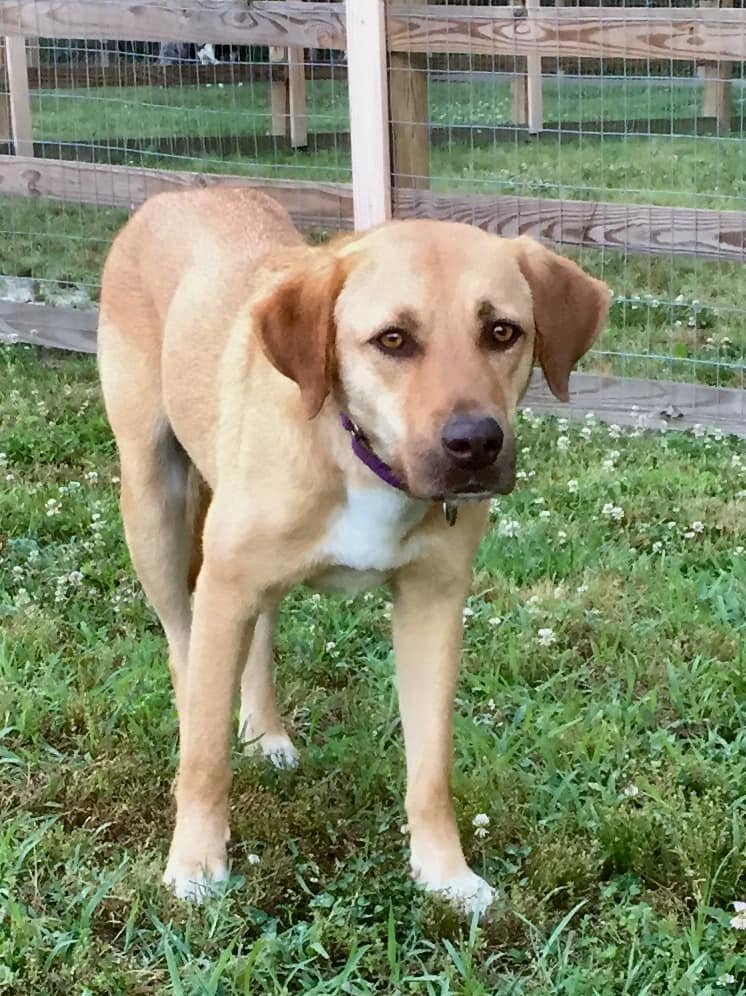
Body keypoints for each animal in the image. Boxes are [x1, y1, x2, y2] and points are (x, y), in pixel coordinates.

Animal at [97, 191, 612, 916]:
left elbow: (431, 767)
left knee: (259, 635)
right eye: (393, 339)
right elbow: (203, 758)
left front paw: (444, 872)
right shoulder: (224, 585)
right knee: (182, 647)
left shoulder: (432, 603)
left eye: (502, 331)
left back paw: (265, 733)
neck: (360, 455)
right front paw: (195, 862)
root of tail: (177, 193)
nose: (476, 444)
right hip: (153, 510)